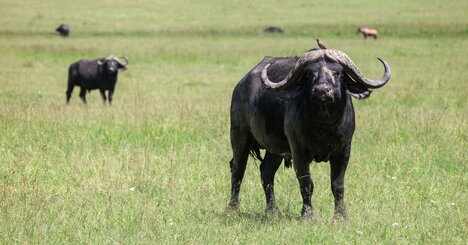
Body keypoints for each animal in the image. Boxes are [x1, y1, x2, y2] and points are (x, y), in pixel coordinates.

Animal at [227, 48, 392, 219]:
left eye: (337, 72)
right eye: (310, 73)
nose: (322, 90)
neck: (324, 126)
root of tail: (241, 85)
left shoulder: (344, 150)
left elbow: (337, 185)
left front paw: (340, 215)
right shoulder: (298, 151)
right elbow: (306, 184)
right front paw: (307, 215)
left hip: (275, 149)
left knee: (266, 172)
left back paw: (273, 210)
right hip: (239, 136)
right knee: (237, 170)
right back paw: (233, 208)